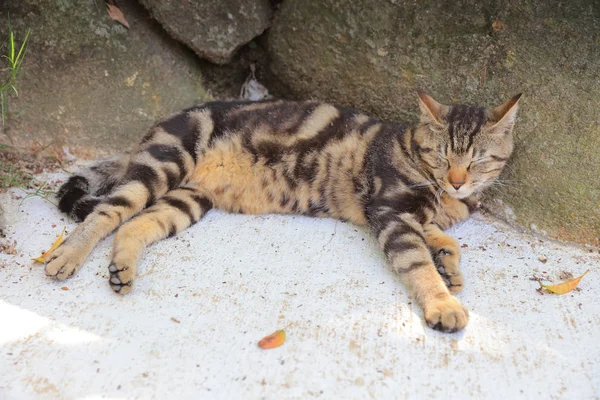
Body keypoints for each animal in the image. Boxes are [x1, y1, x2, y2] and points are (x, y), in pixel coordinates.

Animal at [49, 93, 520, 332]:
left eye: (478, 160)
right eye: (442, 157)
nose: (457, 181)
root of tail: (145, 137)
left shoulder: (407, 215)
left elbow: (442, 237)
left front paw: (448, 263)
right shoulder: (390, 212)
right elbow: (417, 261)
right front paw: (442, 300)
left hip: (188, 200)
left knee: (136, 226)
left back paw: (121, 269)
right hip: (164, 162)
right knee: (107, 213)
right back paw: (66, 256)